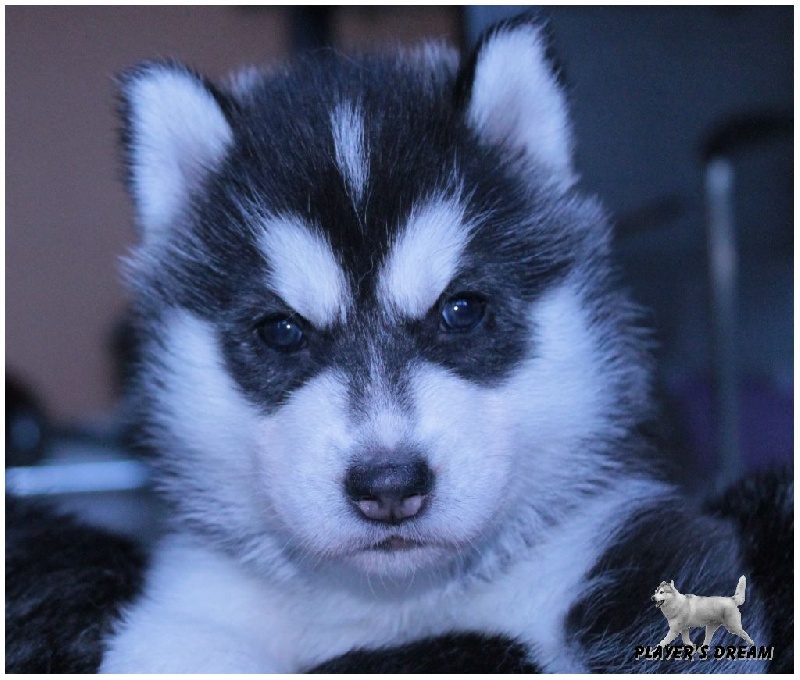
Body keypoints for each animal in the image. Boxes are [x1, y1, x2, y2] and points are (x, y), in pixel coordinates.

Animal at [98, 15, 770, 672]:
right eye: (282, 331)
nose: (389, 486)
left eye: (462, 311)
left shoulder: (616, 539)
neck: (400, 602)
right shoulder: (188, 613)